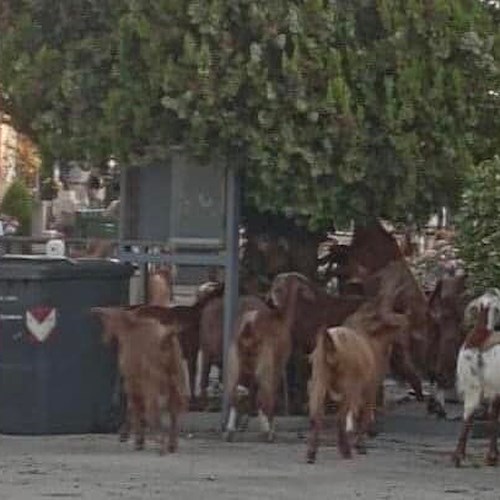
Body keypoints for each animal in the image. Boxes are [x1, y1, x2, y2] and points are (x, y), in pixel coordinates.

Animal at [91, 306, 187, 456]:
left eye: (105, 322)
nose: (103, 339)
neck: (129, 328)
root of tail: (166, 337)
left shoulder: (131, 383)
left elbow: (134, 408)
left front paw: (137, 440)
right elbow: (134, 408)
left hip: (153, 385)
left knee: (153, 410)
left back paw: (160, 444)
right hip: (177, 383)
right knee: (174, 410)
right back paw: (171, 445)